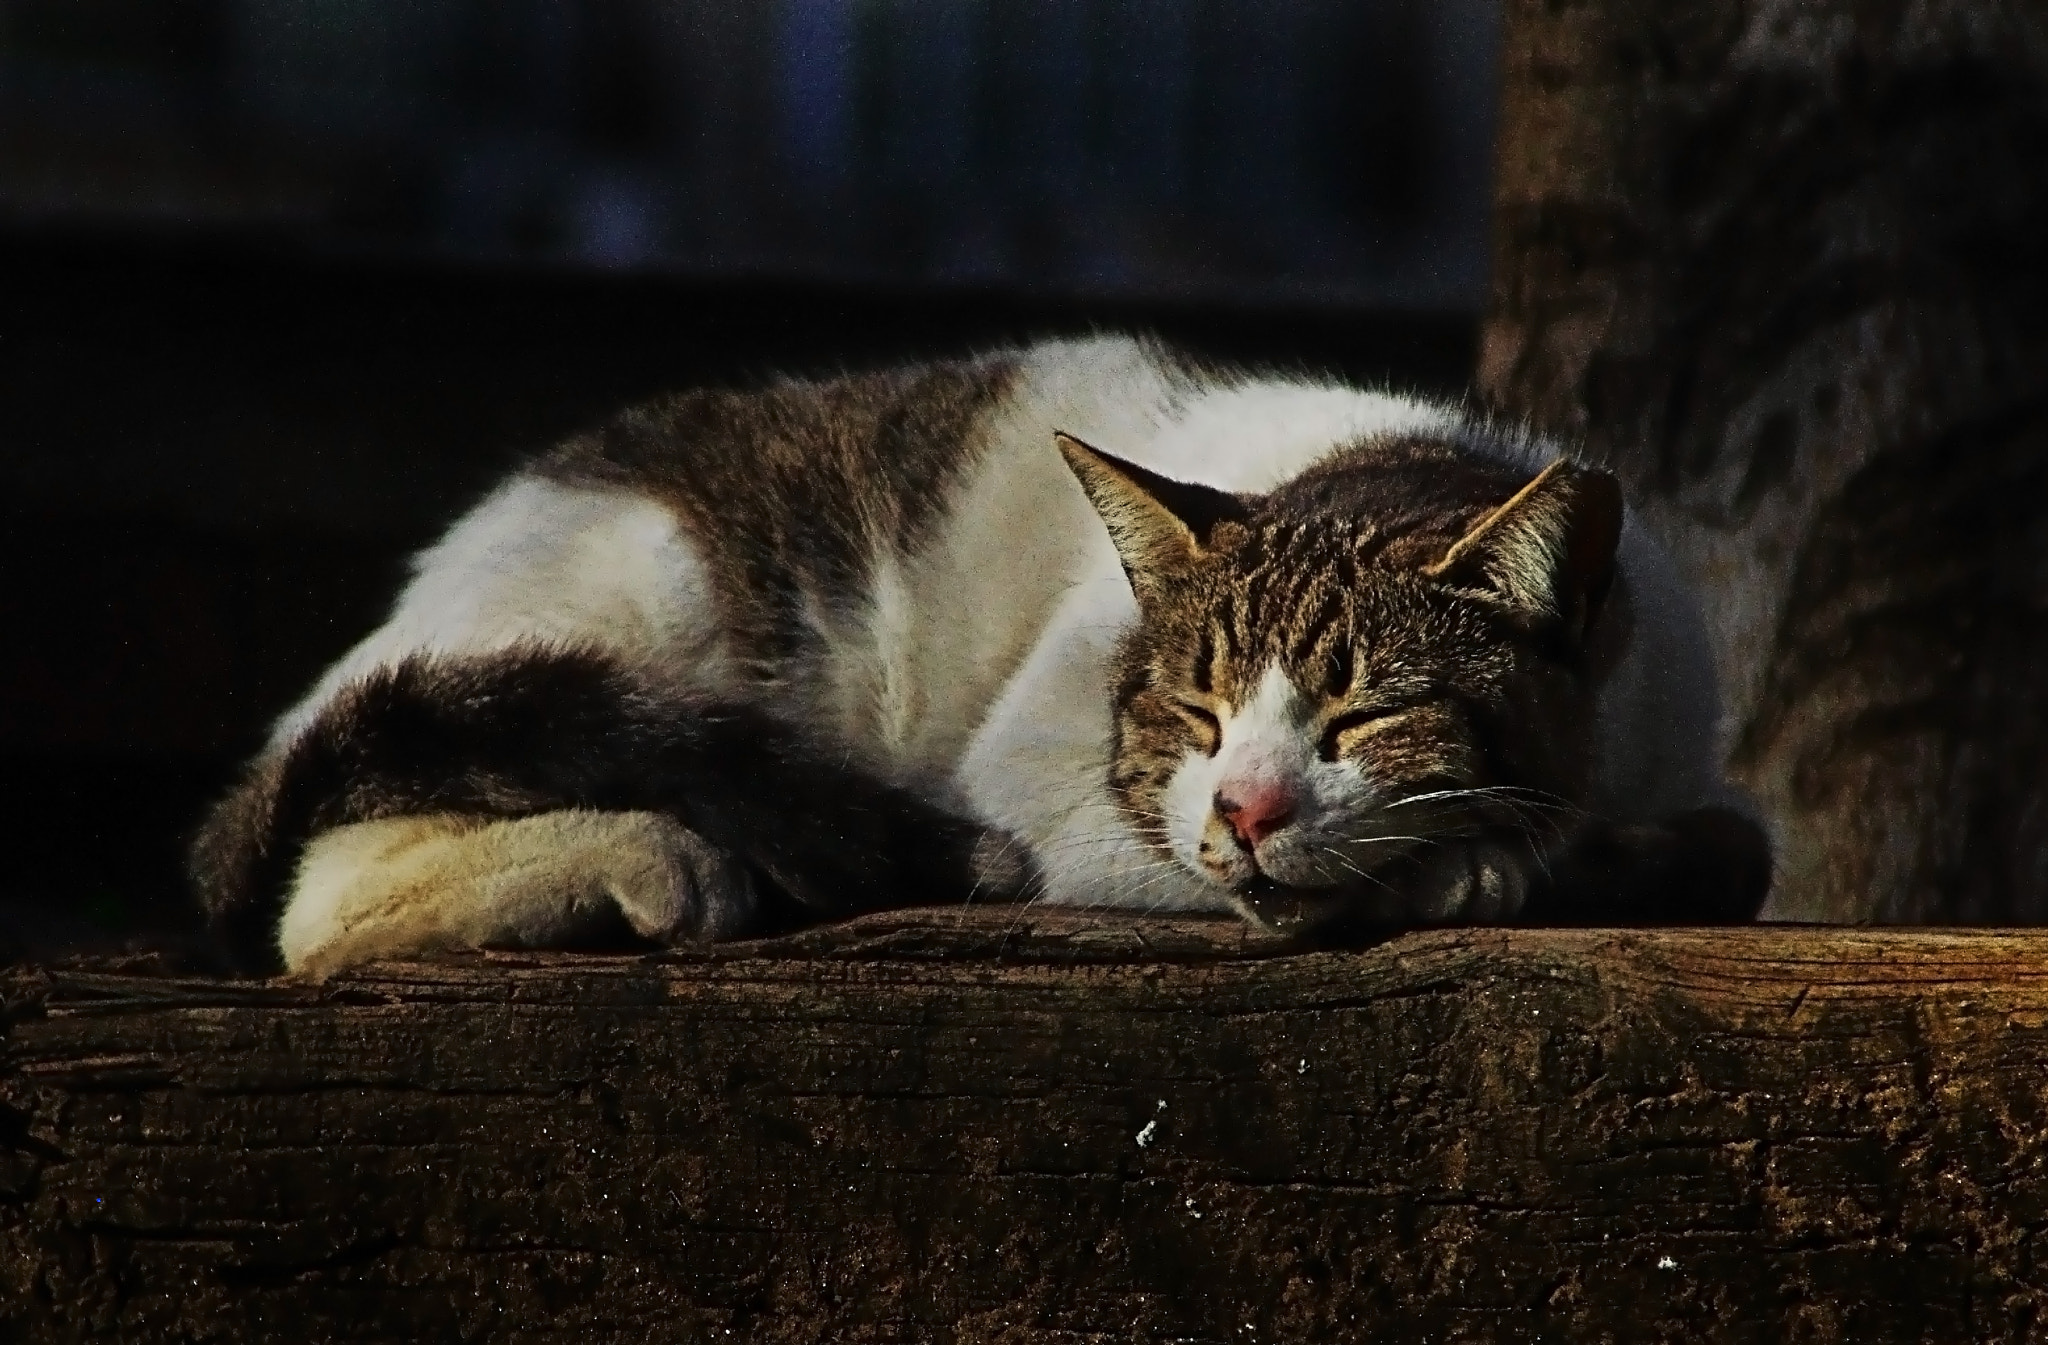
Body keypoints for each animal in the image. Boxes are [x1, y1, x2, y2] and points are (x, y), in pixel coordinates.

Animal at [184, 329, 1769, 970]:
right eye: (1194, 712)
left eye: (1363, 716)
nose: (1247, 807)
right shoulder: (1042, 792)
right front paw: (1475, 866)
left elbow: (1740, 844)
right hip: (641, 603)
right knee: (326, 897)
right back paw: (650, 859)